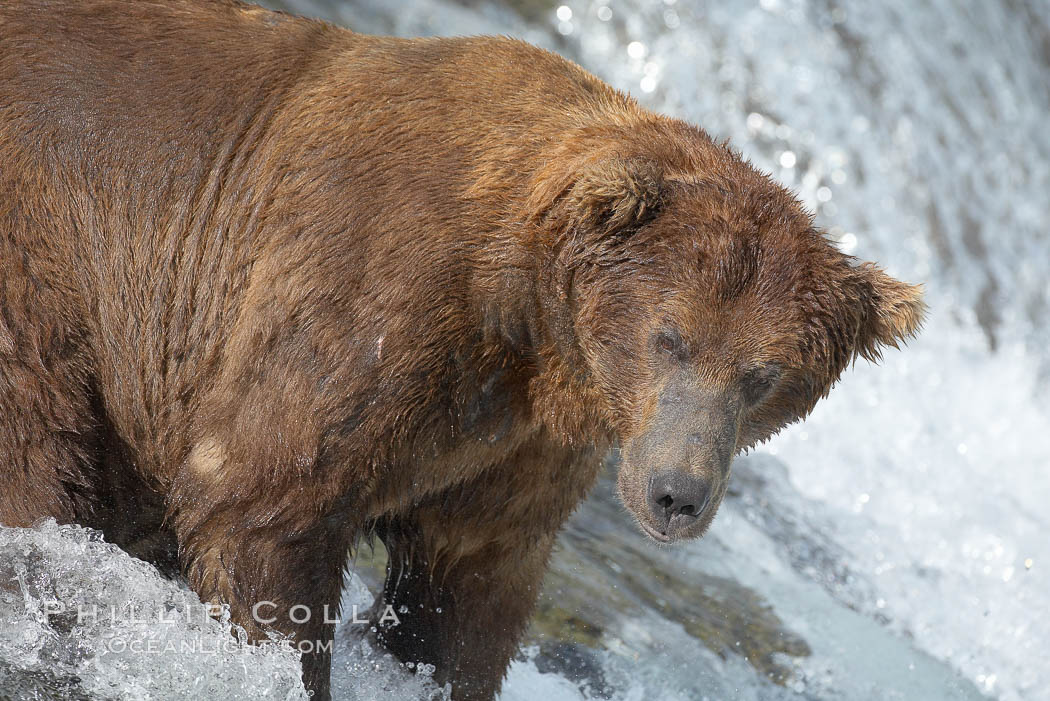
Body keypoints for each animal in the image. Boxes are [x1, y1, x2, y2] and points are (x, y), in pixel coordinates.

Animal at [0, 2, 919, 696]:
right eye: (671, 338)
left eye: (763, 376)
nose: (676, 494)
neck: (526, 318)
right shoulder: (376, 293)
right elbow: (263, 496)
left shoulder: (518, 445)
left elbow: (466, 593)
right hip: (48, 271)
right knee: (41, 453)